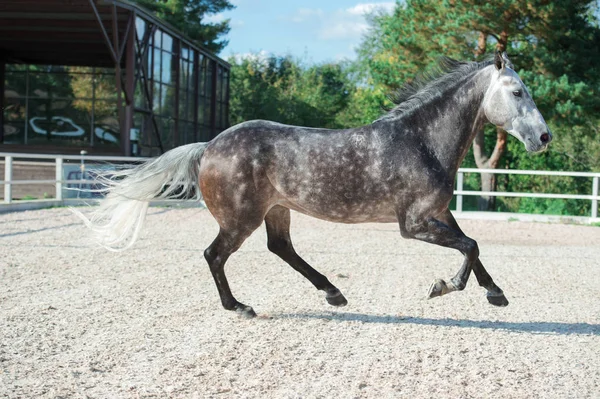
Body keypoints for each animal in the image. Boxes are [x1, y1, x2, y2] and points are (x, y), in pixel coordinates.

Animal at [75, 52, 552, 318]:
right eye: (516, 92)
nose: (544, 138)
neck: (420, 140)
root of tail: (208, 146)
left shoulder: (438, 213)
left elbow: (473, 247)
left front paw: (496, 294)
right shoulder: (413, 224)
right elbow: (470, 246)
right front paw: (443, 287)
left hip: (277, 210)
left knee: (280, 248)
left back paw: (333, 293)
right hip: (241, 218)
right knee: (215, 255)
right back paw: (241, 308)